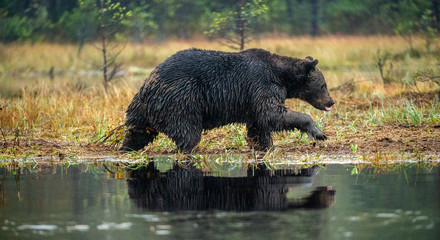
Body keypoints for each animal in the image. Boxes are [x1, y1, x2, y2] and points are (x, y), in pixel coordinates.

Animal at [119, 48, 334, 153]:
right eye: (324, 85)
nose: (331, 101)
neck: (281, 76)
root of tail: (148, 85)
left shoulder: (251, 98)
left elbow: (259, 123)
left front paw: (263, 145)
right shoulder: (260, 84)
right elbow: (272, 112)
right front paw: (318, 133)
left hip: (140, 110)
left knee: (136, 133)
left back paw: (125, 149)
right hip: (181, 100)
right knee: (188, 132)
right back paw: (190, 150)